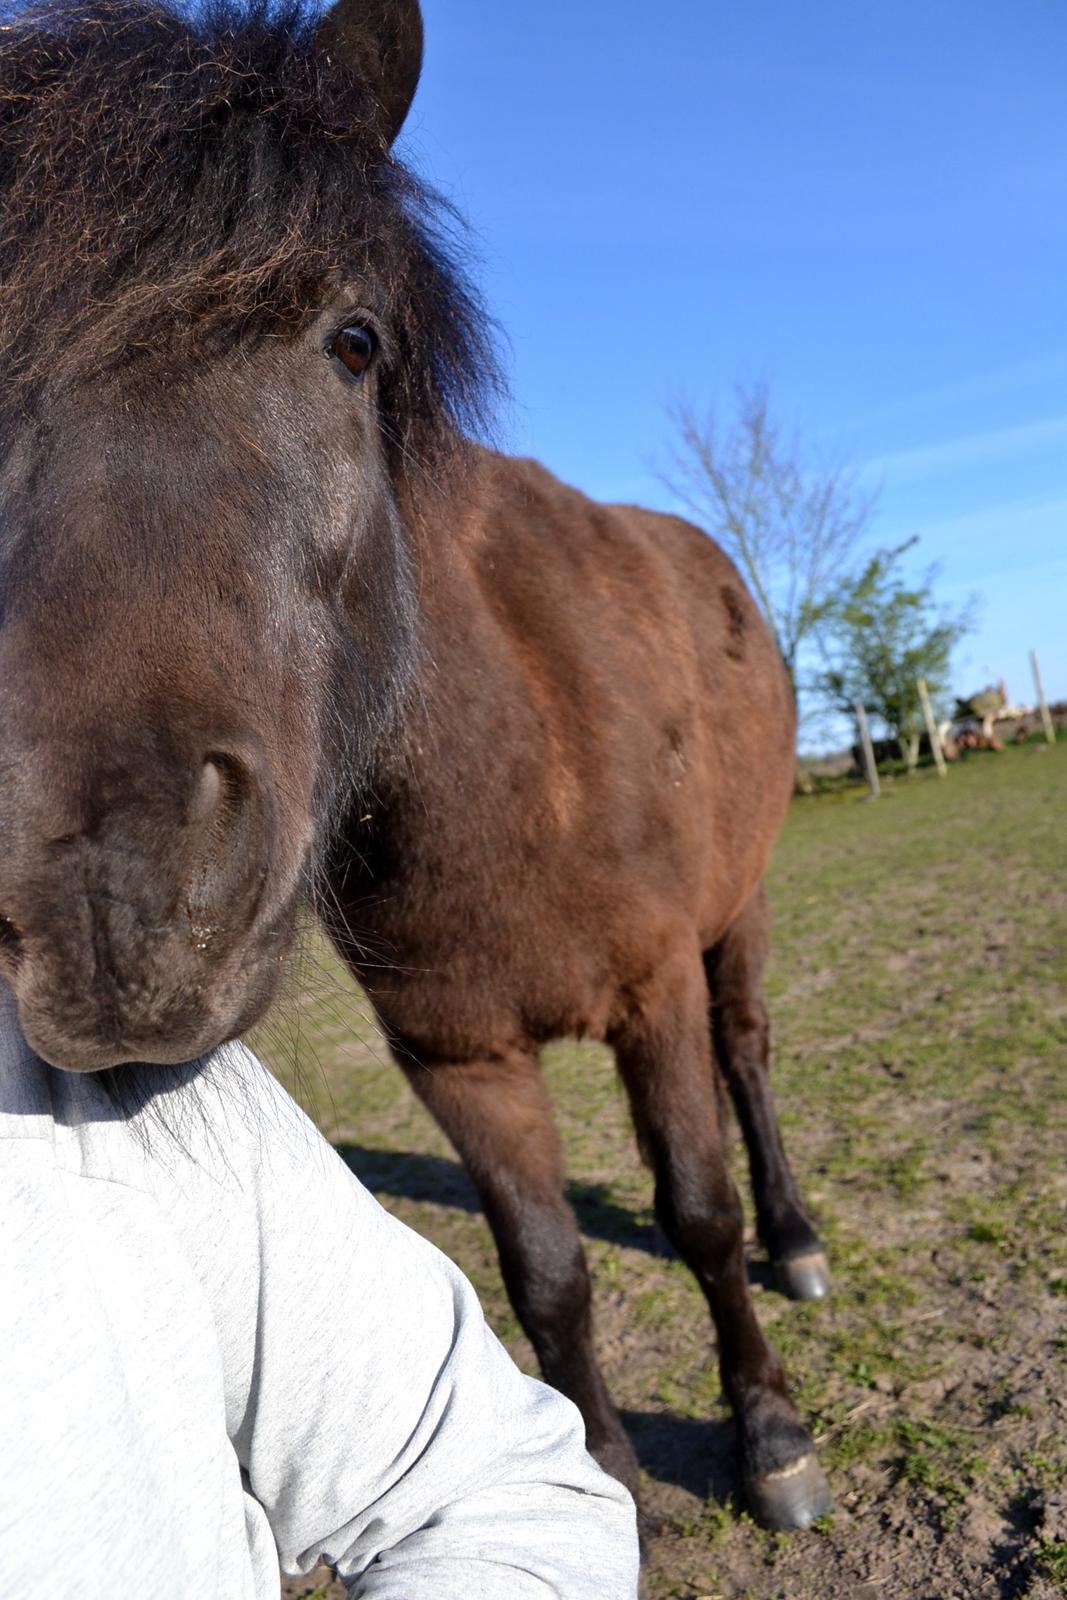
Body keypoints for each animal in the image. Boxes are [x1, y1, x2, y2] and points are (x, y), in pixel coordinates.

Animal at [0, 0, 830, 1531]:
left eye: (355, 342)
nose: (108, 894)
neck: (511, 770)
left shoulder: (651, 993)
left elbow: (694, 1209)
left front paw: (768, 1437)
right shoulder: (458, 1056)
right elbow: (544, 1270)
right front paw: (612, 1477)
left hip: (732, 909)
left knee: (747, 1058)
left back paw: (798, 1242)